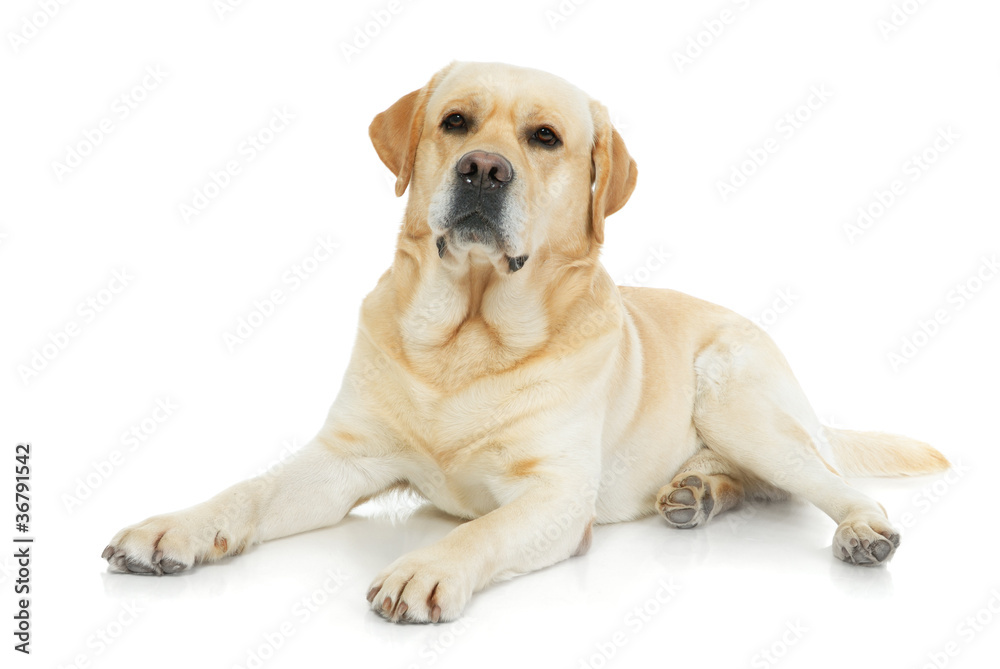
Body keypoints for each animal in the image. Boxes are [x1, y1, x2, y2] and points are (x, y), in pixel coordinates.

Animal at [105, 61, 948, 620]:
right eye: (455, 122)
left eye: (545, 137)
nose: (484, 168)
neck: (466, 335)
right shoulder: (342, 459)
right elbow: (245, 489)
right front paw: (171, 527)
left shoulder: (555, 492)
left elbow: (486, 525)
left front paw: (425, 566)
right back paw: (697, 491)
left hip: (739, 401)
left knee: (825, 480)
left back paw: (860, 527)